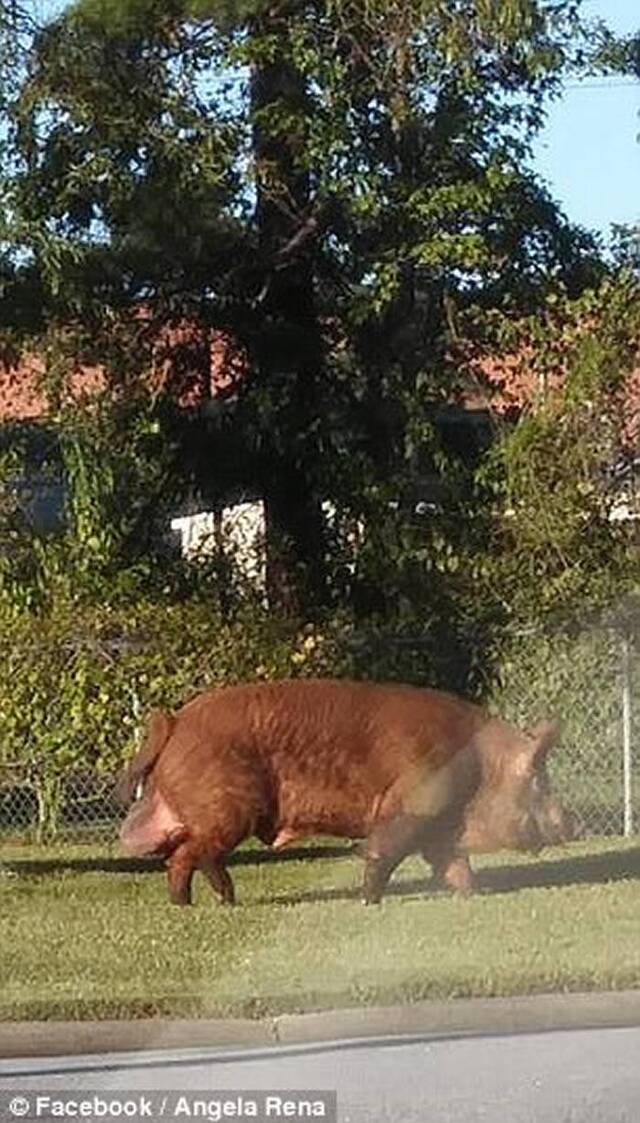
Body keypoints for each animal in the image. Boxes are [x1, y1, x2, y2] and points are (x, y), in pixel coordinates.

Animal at [115, 673, 572, 902]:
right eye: (537, 778)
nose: (573, 822)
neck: (480, 767)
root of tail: (175, 720)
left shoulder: (439, 826)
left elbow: (453, 864)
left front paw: (475, 895)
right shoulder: (410, 803)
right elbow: (384, 852)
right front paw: (369, 901)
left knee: (186, 853)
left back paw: (218, 900)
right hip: (227, 809)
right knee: (185, 856)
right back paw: (204, 903)